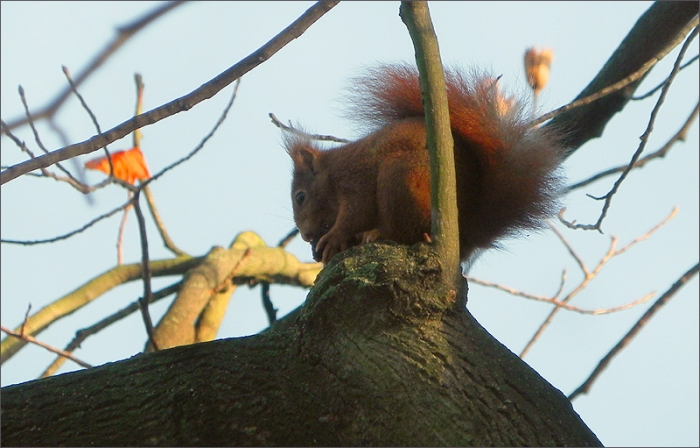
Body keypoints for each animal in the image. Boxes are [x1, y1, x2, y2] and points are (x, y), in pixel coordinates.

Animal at [285, 63, 564, 265]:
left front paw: (334, 238)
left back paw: (379, 233)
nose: (306, 235)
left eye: (300, 197)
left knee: (404, 231)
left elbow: (356, 213)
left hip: (401, 176)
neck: (332, 173)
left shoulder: (355, 181)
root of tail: (464, 232)